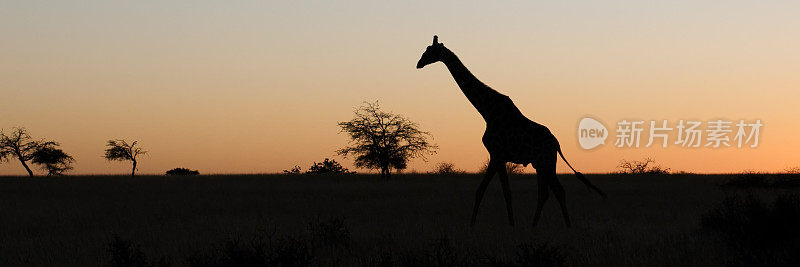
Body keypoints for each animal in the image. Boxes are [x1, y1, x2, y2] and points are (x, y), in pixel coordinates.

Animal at [416, 35, 604, 228]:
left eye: (430, 51)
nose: (419, 63)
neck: (487, 111)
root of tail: (557, 144)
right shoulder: (498, 157)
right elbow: (489, 191)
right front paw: (485, 224)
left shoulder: (497, 155)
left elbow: (499, 192)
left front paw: (499, 225)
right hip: (540, 164)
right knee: (546, 192)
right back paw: (536, 226)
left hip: (546, 161)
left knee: (556, 191)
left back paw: (563, 226)